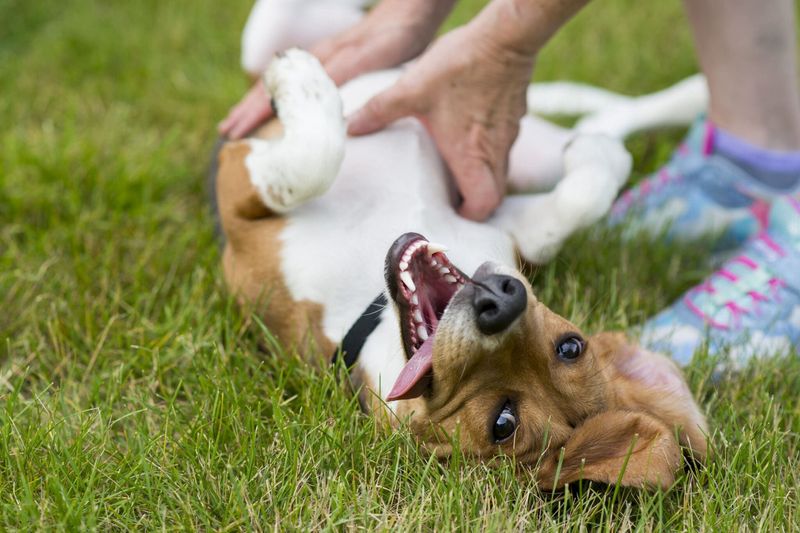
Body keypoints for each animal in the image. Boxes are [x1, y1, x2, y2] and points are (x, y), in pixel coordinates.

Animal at [212, 51, 708, 490]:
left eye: (503, 423)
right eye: (571, 346)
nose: (501, 302)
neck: (372, 310)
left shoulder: (238, 195)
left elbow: (312, 160)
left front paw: (298, 78)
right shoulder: (506, 218)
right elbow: (581, 196)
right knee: (593, 120)